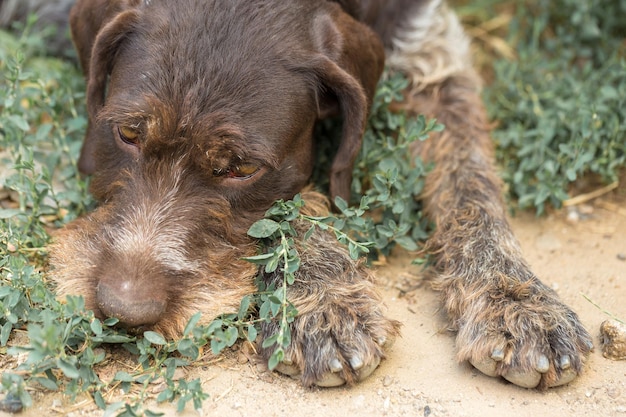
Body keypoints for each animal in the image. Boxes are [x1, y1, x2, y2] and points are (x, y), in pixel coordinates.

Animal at [44, 0, 588, 388]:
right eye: (127, 134)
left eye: (242, 168)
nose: (124, 311)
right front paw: (324, 302)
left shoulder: (432, 59)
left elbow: (471, 182)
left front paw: (515, 299)